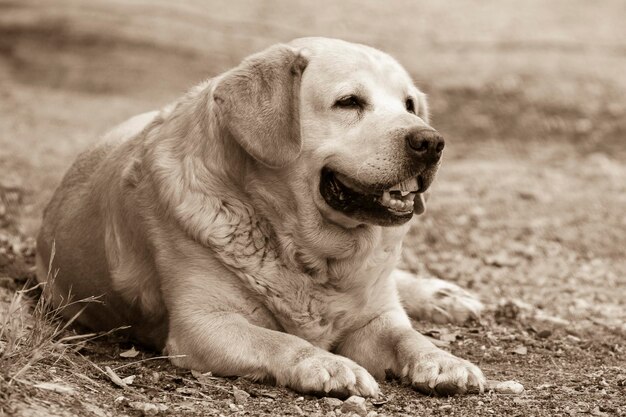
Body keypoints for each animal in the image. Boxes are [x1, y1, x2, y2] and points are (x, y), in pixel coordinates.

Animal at [36, 37, 486, 394]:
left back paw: (443, 296)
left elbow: (406, 336)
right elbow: (281, 341)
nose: (431, 142)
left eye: (410, 105)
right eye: (349, 102)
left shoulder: (377, 317)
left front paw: (443, 359)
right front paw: (327, 363)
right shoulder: (204, 325)